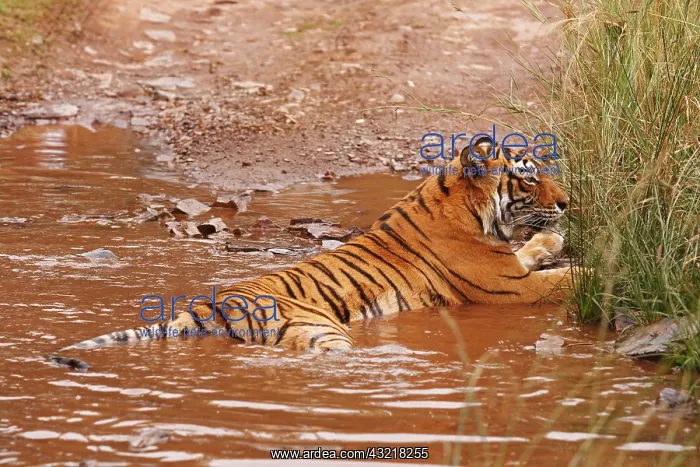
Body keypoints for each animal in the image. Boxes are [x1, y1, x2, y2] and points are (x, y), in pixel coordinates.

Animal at [50, 136, 578, 371]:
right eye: (529, 177)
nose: (567, 203)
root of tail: (205, 305)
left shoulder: (510, 265)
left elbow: (534, 248)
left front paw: (554, 241)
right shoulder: (509, 287)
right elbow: (565, 279)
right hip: (321, 328)